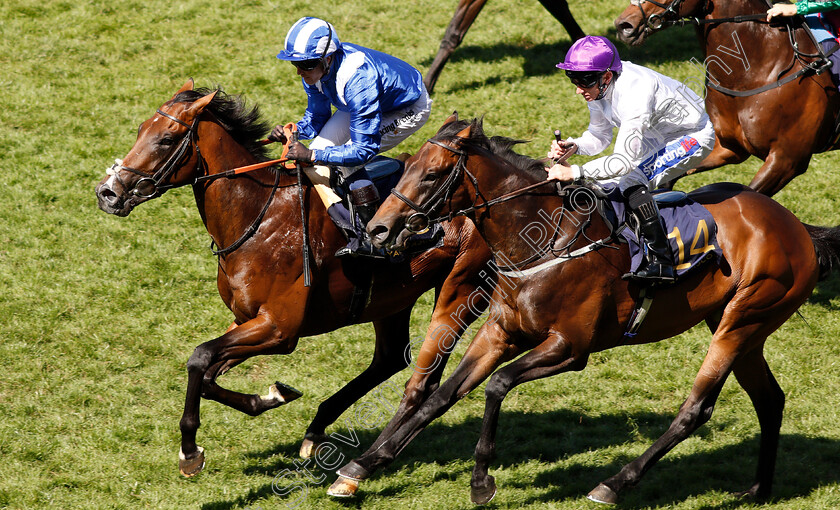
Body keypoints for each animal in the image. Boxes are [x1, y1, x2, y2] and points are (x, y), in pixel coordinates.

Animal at [94, 82, 496, 478]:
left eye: (166, 138)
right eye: (140, 129)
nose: (107, 192)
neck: (257, 216)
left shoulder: (279, 329)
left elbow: (200, 357)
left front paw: (190, 452)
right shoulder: (246, 319)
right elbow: (208, 375)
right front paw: (271, 396)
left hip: (461, 288)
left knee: (423, 374)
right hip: (391, 299)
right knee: (389, 358)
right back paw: (317, 428)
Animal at [324, 113, 840, 504]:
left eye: (432, 174)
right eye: (408, 165)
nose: (380, 229)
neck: (541, 242)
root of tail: (798, 229)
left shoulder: (570, 348)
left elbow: (497, 385)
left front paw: (481, 481)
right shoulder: (501, 332)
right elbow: (442, 394)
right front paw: (361, 468)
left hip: (742, 321)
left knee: (696, 410)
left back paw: (613, 484)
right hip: (743, 326)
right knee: (770, 399)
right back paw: (759, 489)